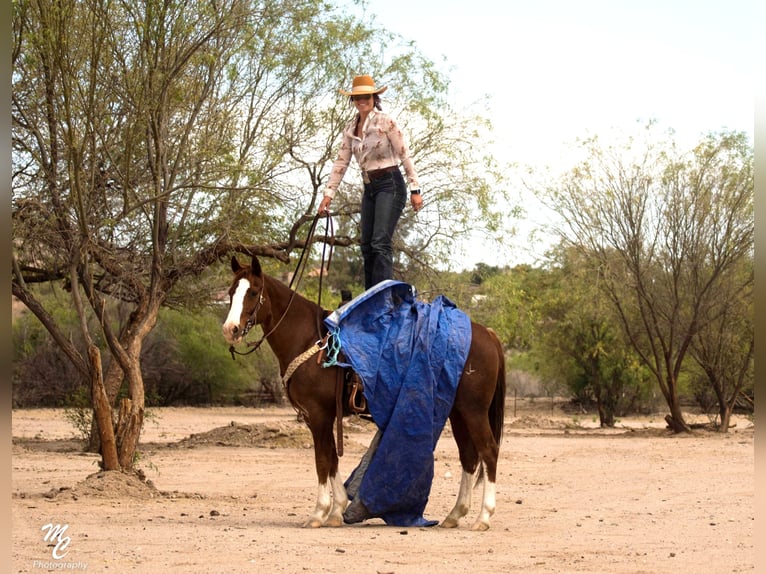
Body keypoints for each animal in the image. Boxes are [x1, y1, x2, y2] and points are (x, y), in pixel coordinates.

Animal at [220, 256, 510, 532]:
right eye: (232, 291)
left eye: (253, 292)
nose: (230, 329)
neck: (310, 340)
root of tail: (487, 333)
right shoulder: (320, 417)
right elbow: (331, 459)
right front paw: (337, 510)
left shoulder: (319, 414)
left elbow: (322, 459)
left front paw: (318, 513)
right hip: (459, 413)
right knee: (469, 456)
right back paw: (455, 515)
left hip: (474, 411)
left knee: (488, 451)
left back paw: (483, 517)